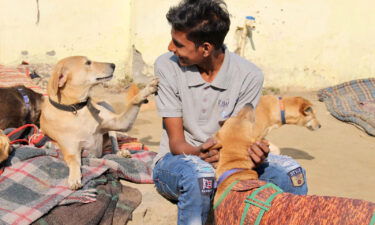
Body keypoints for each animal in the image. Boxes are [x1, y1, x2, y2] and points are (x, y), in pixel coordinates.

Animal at [41, 55, 159, 189]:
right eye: (88, 63)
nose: (113, 64)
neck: (77, 109)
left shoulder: (120, 122)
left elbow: (134, 100)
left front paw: (147, 90)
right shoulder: (71, 151)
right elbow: (74, 163)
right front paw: (74, 178)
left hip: (108, 108)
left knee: (114, 143)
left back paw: (121, 152)